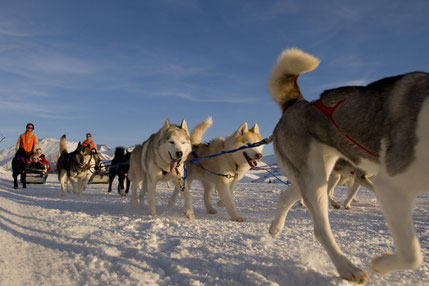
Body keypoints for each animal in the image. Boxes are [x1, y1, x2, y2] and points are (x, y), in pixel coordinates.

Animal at [268, 48, 428, 282]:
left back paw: (275, 228)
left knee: (286, 196)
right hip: (314, 178)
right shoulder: (391, 187)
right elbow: (412, 255)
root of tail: (298, 103)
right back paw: (347, 268)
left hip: (313, 176)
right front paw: (380, 264)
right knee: (321, 229)